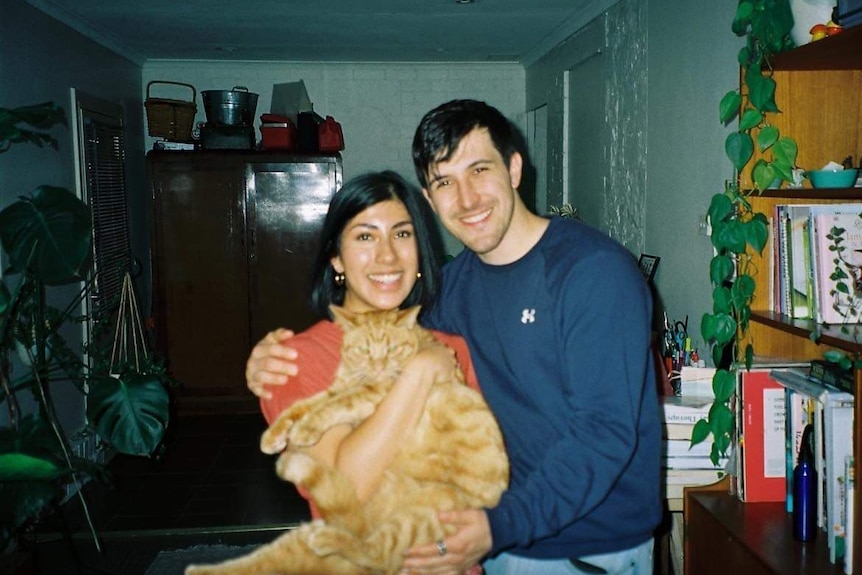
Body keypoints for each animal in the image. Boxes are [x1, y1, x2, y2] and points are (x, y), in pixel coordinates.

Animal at [186, 306, 510, 575]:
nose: (378, 366)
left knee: (376, 551)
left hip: (420, 520)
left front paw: (304, 430)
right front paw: (274, 434)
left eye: (391, 348)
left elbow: (330, 408)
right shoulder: (338, 387)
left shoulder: (374, 392)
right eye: (365, 349)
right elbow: (303, 405)